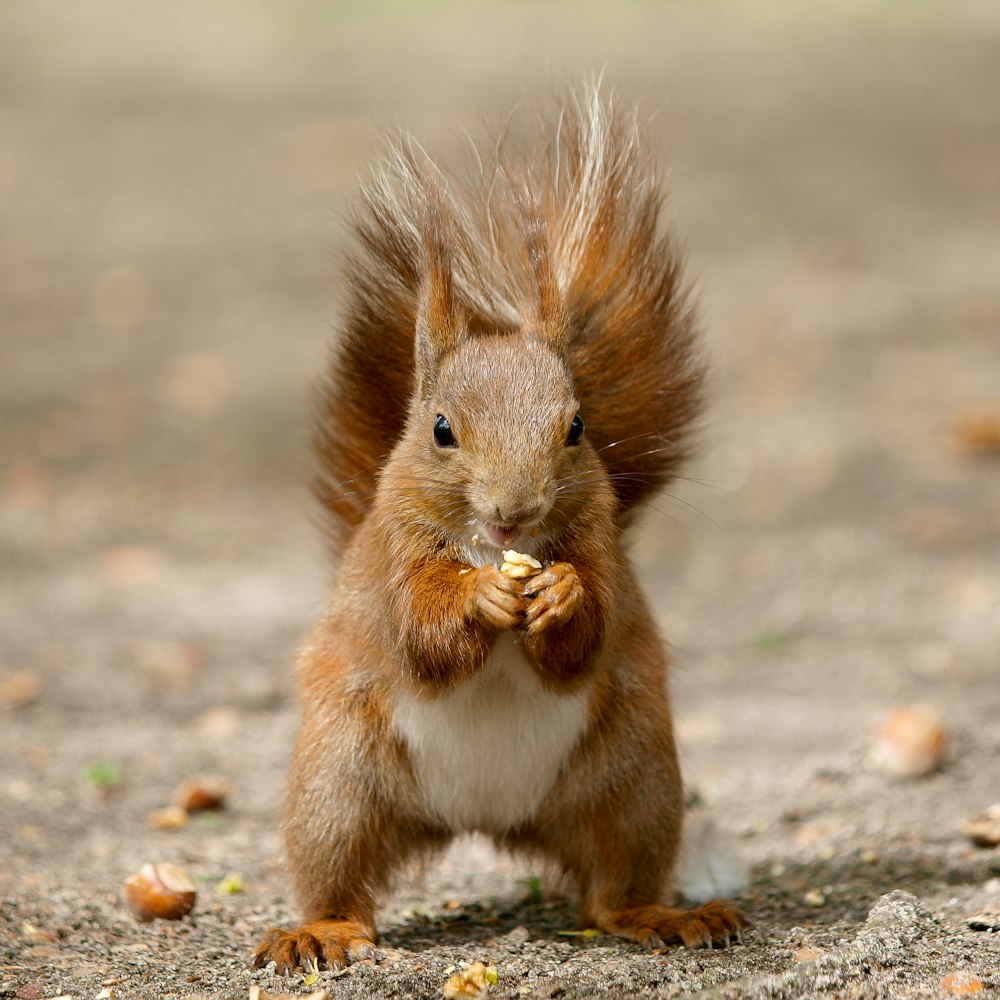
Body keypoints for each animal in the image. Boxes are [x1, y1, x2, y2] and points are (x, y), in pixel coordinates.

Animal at [254, 90, 748, 972]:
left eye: (577, 426)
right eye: (442, 430)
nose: (515, 511)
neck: (494, 544)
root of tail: (484, 820)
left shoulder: (600, 542)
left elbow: (585, 637)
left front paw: (558, 595)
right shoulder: (391, 556)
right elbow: (419, 633)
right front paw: (480, 598)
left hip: (636, 784)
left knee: (613, 887)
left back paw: (663, 916)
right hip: (337, 784)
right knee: (340, 878)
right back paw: (319, 931)